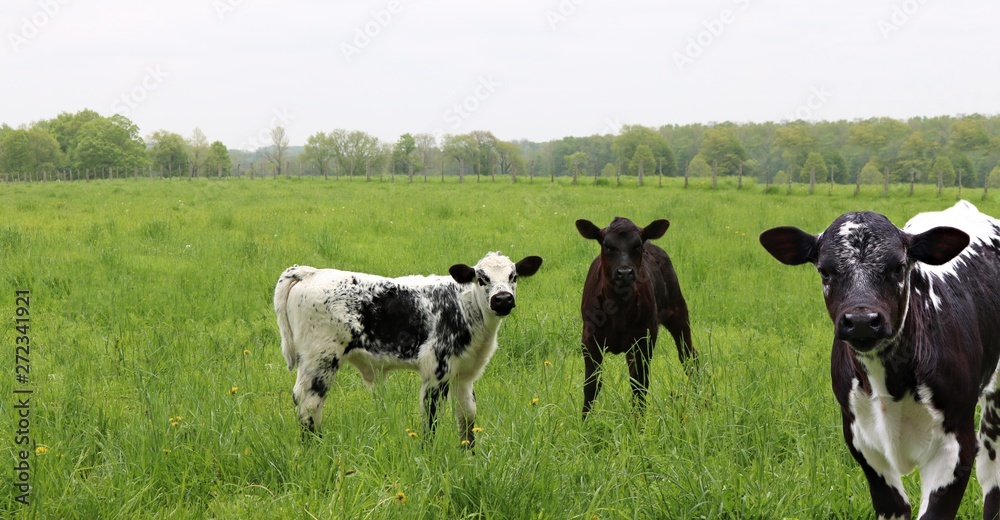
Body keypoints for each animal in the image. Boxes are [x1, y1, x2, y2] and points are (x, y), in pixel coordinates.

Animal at [273, 251, 543, 448]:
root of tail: (311, 272)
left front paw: (469, 457)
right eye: (481, 278)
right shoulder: (436, 370)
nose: (503, 299)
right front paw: (428, 455)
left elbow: (467, 417)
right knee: (309, 402)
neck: (465, 307)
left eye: (513, 276)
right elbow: (431, 418)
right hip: (321, 359)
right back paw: (314, 448)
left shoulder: (464, 375)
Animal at [576, 216, 698, 420]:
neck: (618, 308)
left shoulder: (644, 338)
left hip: (678, 313)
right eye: (607, 245)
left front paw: (639, 423)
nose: (625, 272)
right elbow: (591, 385)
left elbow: (639, 384)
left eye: (637, 245)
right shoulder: (589, 339)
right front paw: (584, 423)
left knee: (689, 357)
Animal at [759, 200, 1000, 519]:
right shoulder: (861, 440)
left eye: (898, 267)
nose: (862, 321)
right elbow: (895, 505)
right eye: (824, 271)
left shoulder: (956, 444)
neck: (890, 386)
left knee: (992, 473)